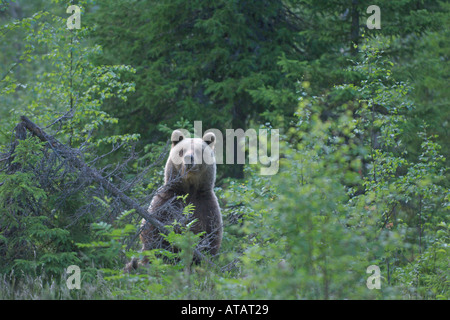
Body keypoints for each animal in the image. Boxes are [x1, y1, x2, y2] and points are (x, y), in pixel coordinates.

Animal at [124, 129, 222, 270]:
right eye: (181, 151)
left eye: (199, 151)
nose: (188, 158)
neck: (189, 189)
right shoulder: (167, 200)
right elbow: (152, 231)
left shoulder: (205, 205)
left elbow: (211, 236)